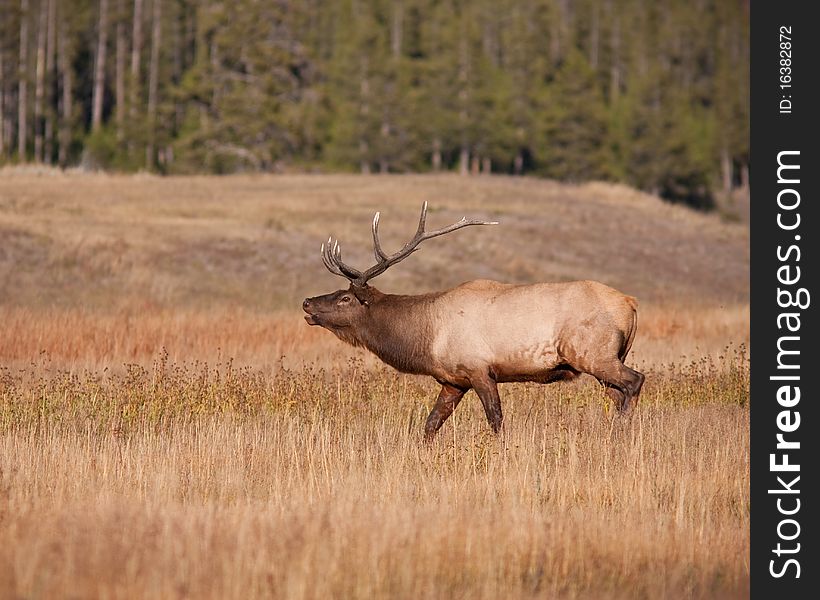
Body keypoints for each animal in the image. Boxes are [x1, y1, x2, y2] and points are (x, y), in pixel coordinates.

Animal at [304, 203, 644, 440]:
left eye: (345, 298)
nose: (307, 302)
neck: (426, 337)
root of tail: (631, 303)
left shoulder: (479, 369)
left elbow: (496, 421)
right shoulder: (453, 380)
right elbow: (429, 425)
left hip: (594, 353)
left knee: (634, 381)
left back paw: (623, 433)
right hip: (604, 359)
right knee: (617, 393)